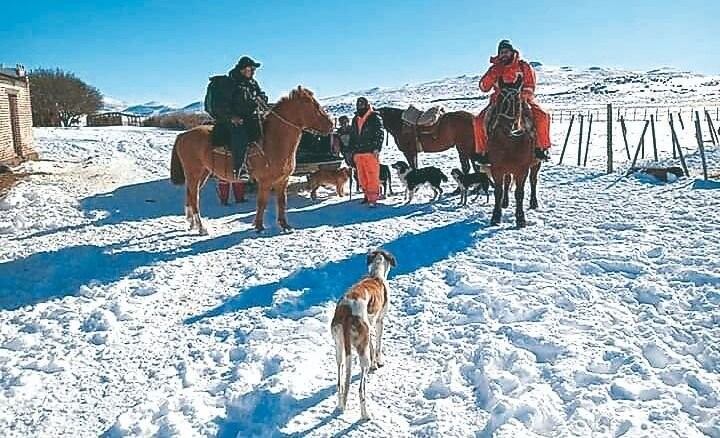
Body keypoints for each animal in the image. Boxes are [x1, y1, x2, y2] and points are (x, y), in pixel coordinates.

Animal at [170, 87, 334, 234]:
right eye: (311, 104)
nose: (331, 125)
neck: (274, 141)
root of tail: (183, 135)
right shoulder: (265, 182)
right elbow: (262, 203)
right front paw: (259, 227)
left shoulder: (283, 180)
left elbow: (282, 202)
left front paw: (285, 226)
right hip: (194, 173)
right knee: (194, 198)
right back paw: (201, 228)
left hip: (202, 173)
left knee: (190, 195)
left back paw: (192, 224)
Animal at [330, 248, 396, 420]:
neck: (375, 275)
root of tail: (347, 313)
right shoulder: (379, 321)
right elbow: (378, 346)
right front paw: (379, 362)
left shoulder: (370, 328)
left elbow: (372, 346)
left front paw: (375, 363)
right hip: (361, 353)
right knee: (361, 389)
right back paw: (365, 415)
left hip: (339, 349)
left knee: (340, 382)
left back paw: (340, 406)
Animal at [486, 77, 544, 228]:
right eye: (499, 98)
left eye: (518, 100)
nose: (505, 126)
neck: (509, 141)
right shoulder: (497, 168)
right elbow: (498, 191)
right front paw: (496, 216)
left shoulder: (522, 170)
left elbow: (519, 193)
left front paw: (520, 218)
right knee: (507, 182)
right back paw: (505, 202)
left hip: (536, 164)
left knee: (533, 181)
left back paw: (534, 203)